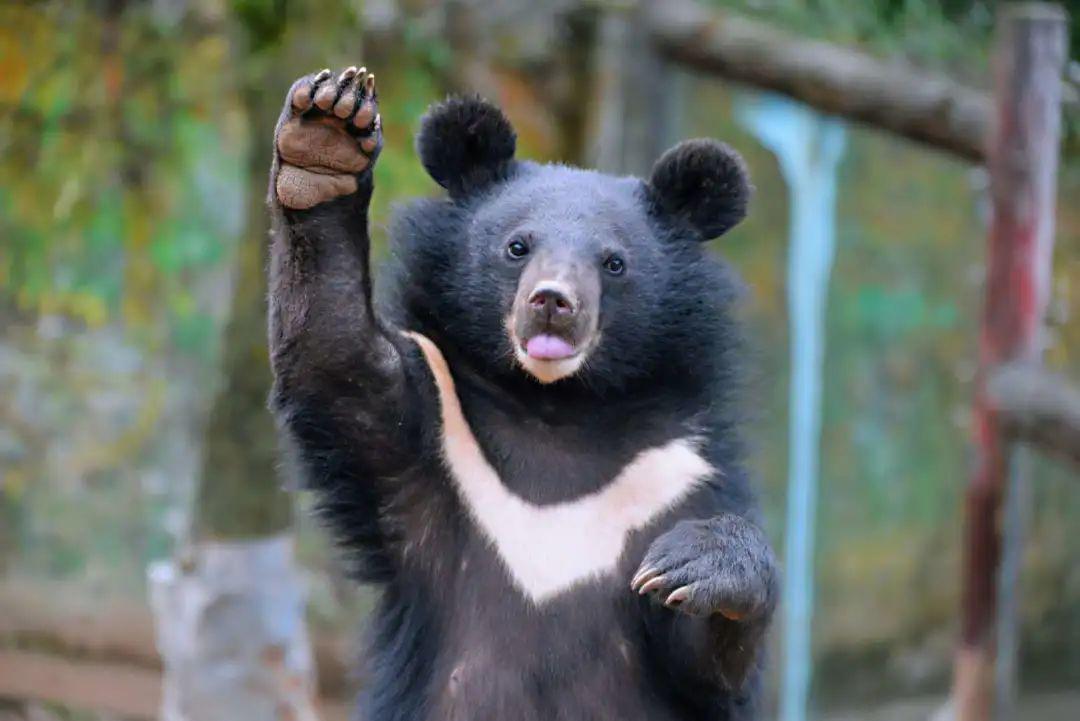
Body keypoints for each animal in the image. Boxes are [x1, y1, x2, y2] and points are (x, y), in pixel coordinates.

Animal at [267, 65, 778, 721]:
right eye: (517, 246)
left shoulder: (681, 475)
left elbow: (708, 660)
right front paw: (327, 132)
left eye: (614, 263)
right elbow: (336, 356)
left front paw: (692, 563)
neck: (556, 408)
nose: (553, 302)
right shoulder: (432, 441)